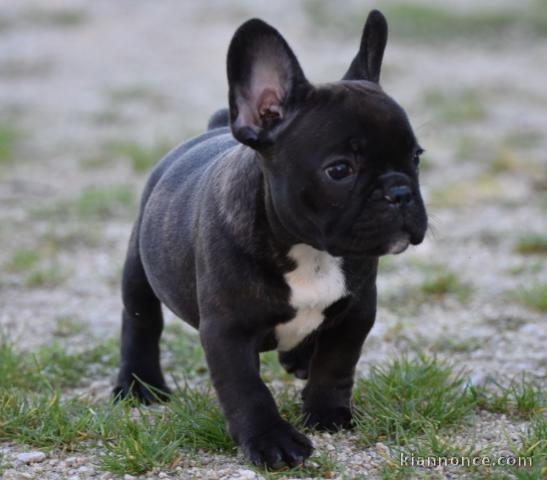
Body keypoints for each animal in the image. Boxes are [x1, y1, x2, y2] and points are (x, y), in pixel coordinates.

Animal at [112, 10, 428, 468]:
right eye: (340, 170)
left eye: (416, 157)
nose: (400, 191)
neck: (311, 252)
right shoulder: (228, 330)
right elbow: (248, 390)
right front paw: (271, 441)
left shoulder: (356, 312)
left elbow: (336, 365)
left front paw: (327, 413)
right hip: (138, 267)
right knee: (140, 320)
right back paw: (139, 385)